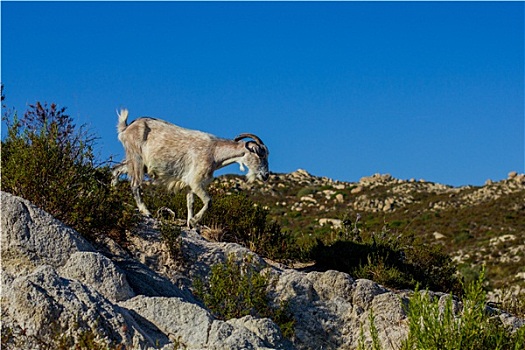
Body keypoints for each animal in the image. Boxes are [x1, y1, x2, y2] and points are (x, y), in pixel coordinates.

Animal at [111, 110, 270, 230]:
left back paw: (112, 194)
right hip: (136, 158)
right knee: (135, 184)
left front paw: (190, 224)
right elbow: (208, 201)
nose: (266, 175)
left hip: (135, 162)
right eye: (260, 155)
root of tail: (126, 128)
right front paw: (194, 221)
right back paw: (146, 211)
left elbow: (190, 203)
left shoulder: (189, 184)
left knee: (116, 169)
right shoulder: (196, 181)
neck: (215, 153)